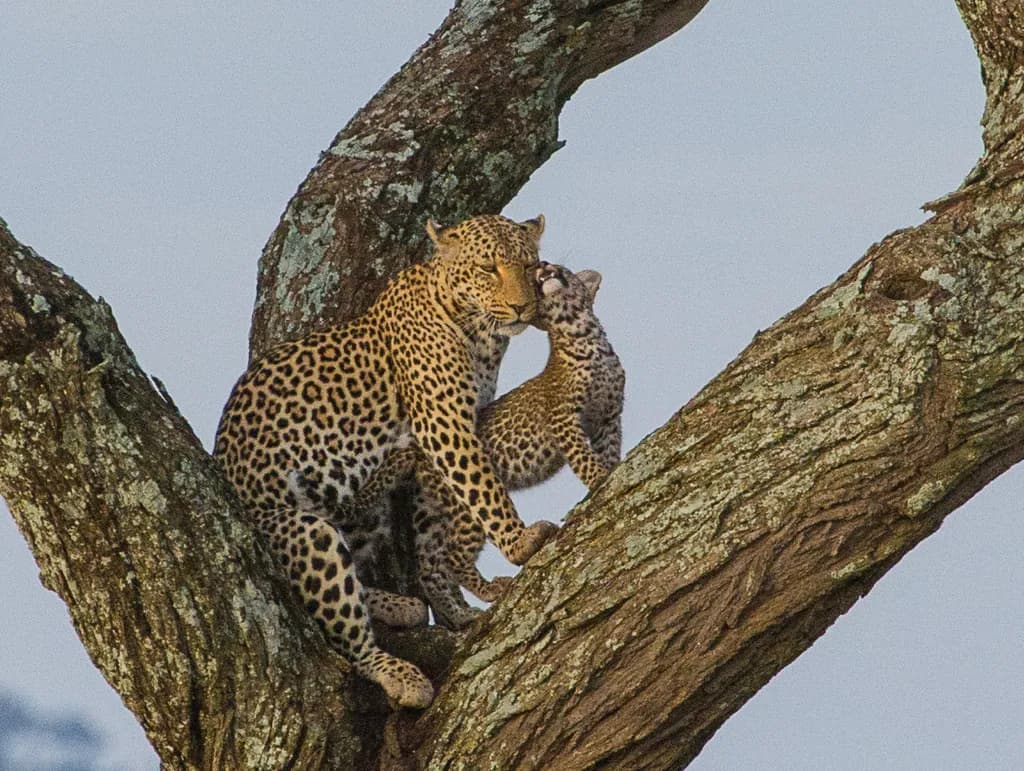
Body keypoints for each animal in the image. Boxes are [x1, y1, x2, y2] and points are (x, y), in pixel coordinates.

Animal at [213, 214, 559, 708]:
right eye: (488, 268)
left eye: (530, 266)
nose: (521, 308)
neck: (476, 333)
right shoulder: (444, 425)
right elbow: (483, 488)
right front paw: (519, 541)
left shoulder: (437, 444)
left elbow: (433, 537)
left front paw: (456, 611)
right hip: (302, 529)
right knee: (345, 631)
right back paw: (401, 674)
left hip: (362, 508)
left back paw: (401, 605)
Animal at [348, 262, 625, 627]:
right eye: (537, 278)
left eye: (559, 268)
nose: (544, 268)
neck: (583, 335)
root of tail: (419, 450)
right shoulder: (564, 418)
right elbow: (583, 457)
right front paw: (599, 478)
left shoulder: (610, 417)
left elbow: (610, 451)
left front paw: (612, 469)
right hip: (466, 508)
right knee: (454, 557)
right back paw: (491, 591)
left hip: (435, 512)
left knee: (432, 567)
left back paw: (461, 614)